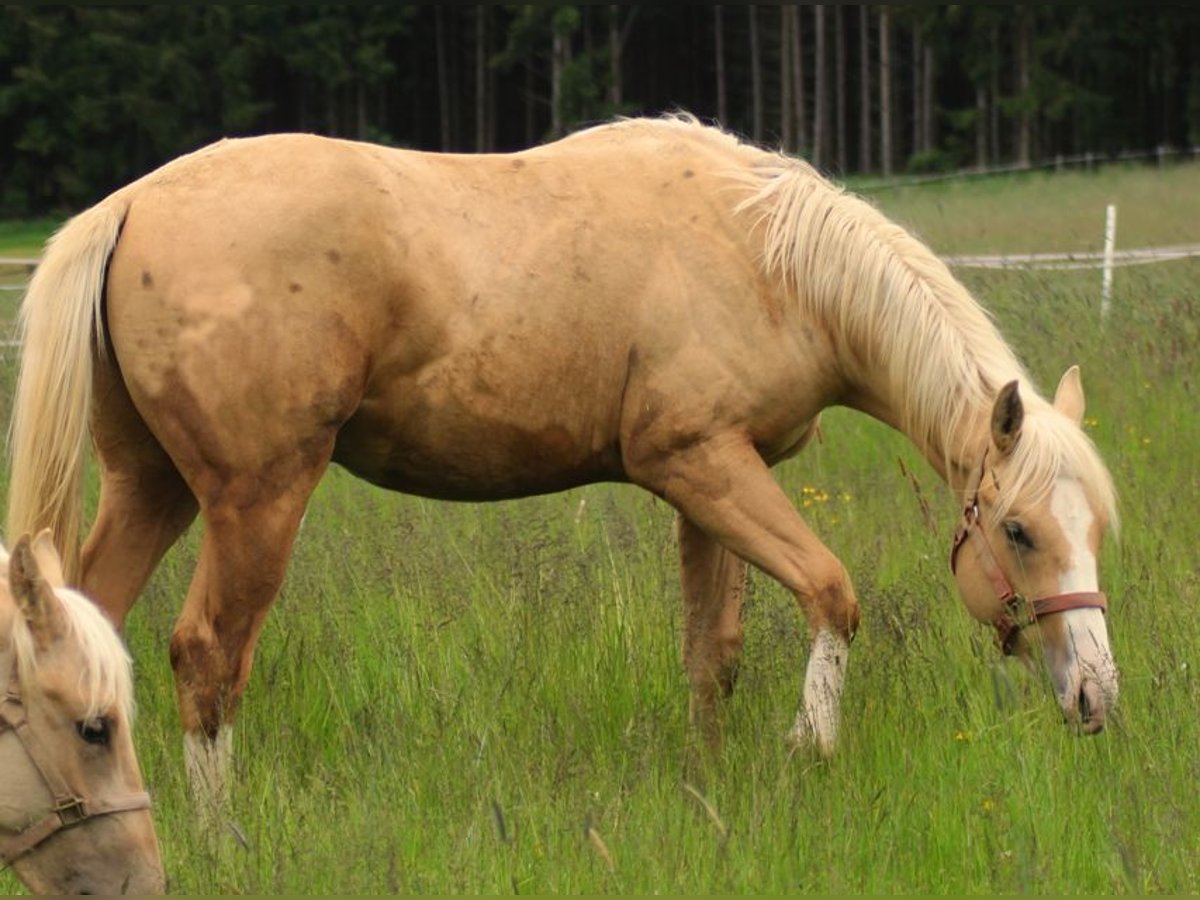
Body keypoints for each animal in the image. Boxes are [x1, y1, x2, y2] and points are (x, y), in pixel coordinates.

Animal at [4, 114, 1118, 811]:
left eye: (1096, 527)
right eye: (1018, 531)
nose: (1097, 700)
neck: (764, 252)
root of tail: (130, 204)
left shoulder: (709, 484)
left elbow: (711, 654)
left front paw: (708, 788)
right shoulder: (702, 465)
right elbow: (831, 593)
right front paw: (812, 744)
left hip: (151, 488)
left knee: (90, 632)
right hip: (256, 500)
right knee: (206, 655)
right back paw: (223, 836)